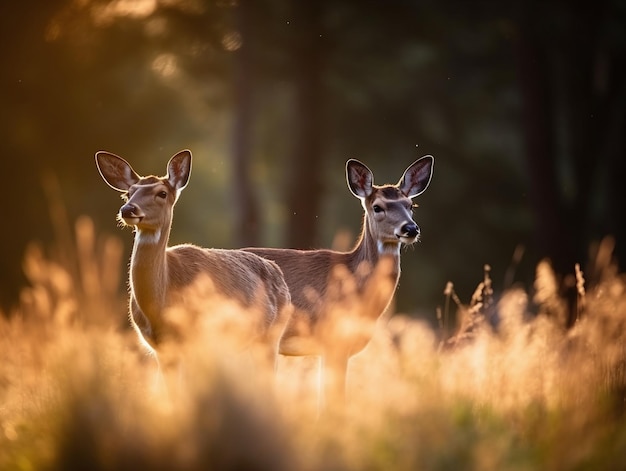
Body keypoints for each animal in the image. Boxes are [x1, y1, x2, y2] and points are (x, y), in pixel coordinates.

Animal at [95, 151, 290, 372]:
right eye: (129, 193)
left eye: (162, 193)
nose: (128, 209)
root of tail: (278, 273)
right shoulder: (162, 350)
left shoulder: (196, 341)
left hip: (270, 338)